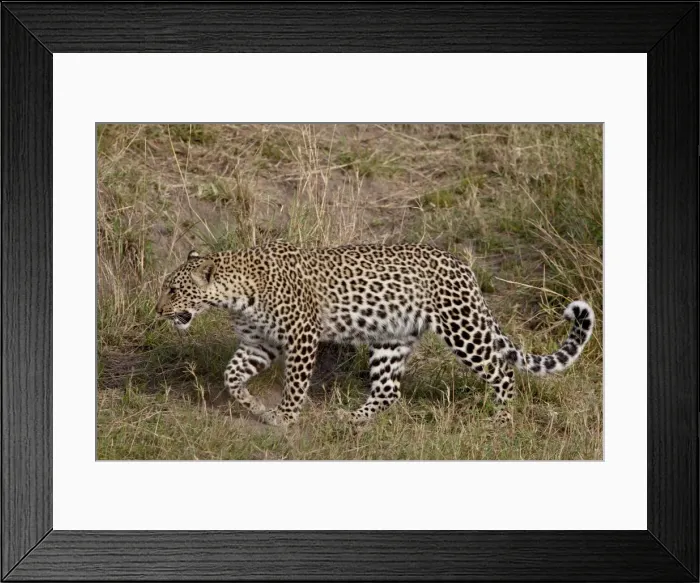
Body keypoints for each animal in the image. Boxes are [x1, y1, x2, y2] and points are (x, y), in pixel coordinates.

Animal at [155, 241, 595, 428]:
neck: (234, 294)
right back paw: (351, 419)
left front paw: (284, 418)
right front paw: (255, 407)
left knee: (502, 370)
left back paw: (501, 420)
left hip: (462, 328)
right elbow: (232, 376)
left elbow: (295, 384)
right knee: (388, 390)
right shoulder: (259, 342)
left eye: (173, 290)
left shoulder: (301, 335)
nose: (158, 310)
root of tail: (463, 266)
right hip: (391, 339)